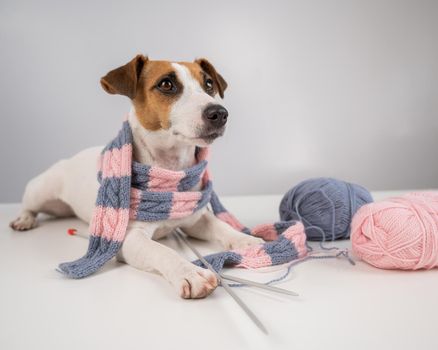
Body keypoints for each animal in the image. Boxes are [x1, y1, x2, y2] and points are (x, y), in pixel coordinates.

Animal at [10, 54, 264, 298]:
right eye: (166, 84)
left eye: (209, 84)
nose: (219, 113)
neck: (170, 171)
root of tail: (70, 158)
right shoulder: (128, 239)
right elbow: (162, 250)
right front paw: (190, 272)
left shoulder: (196, 219)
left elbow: (221, 227)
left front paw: (247, 241)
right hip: (41, 190)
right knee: (29, 205)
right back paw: (24, 219)